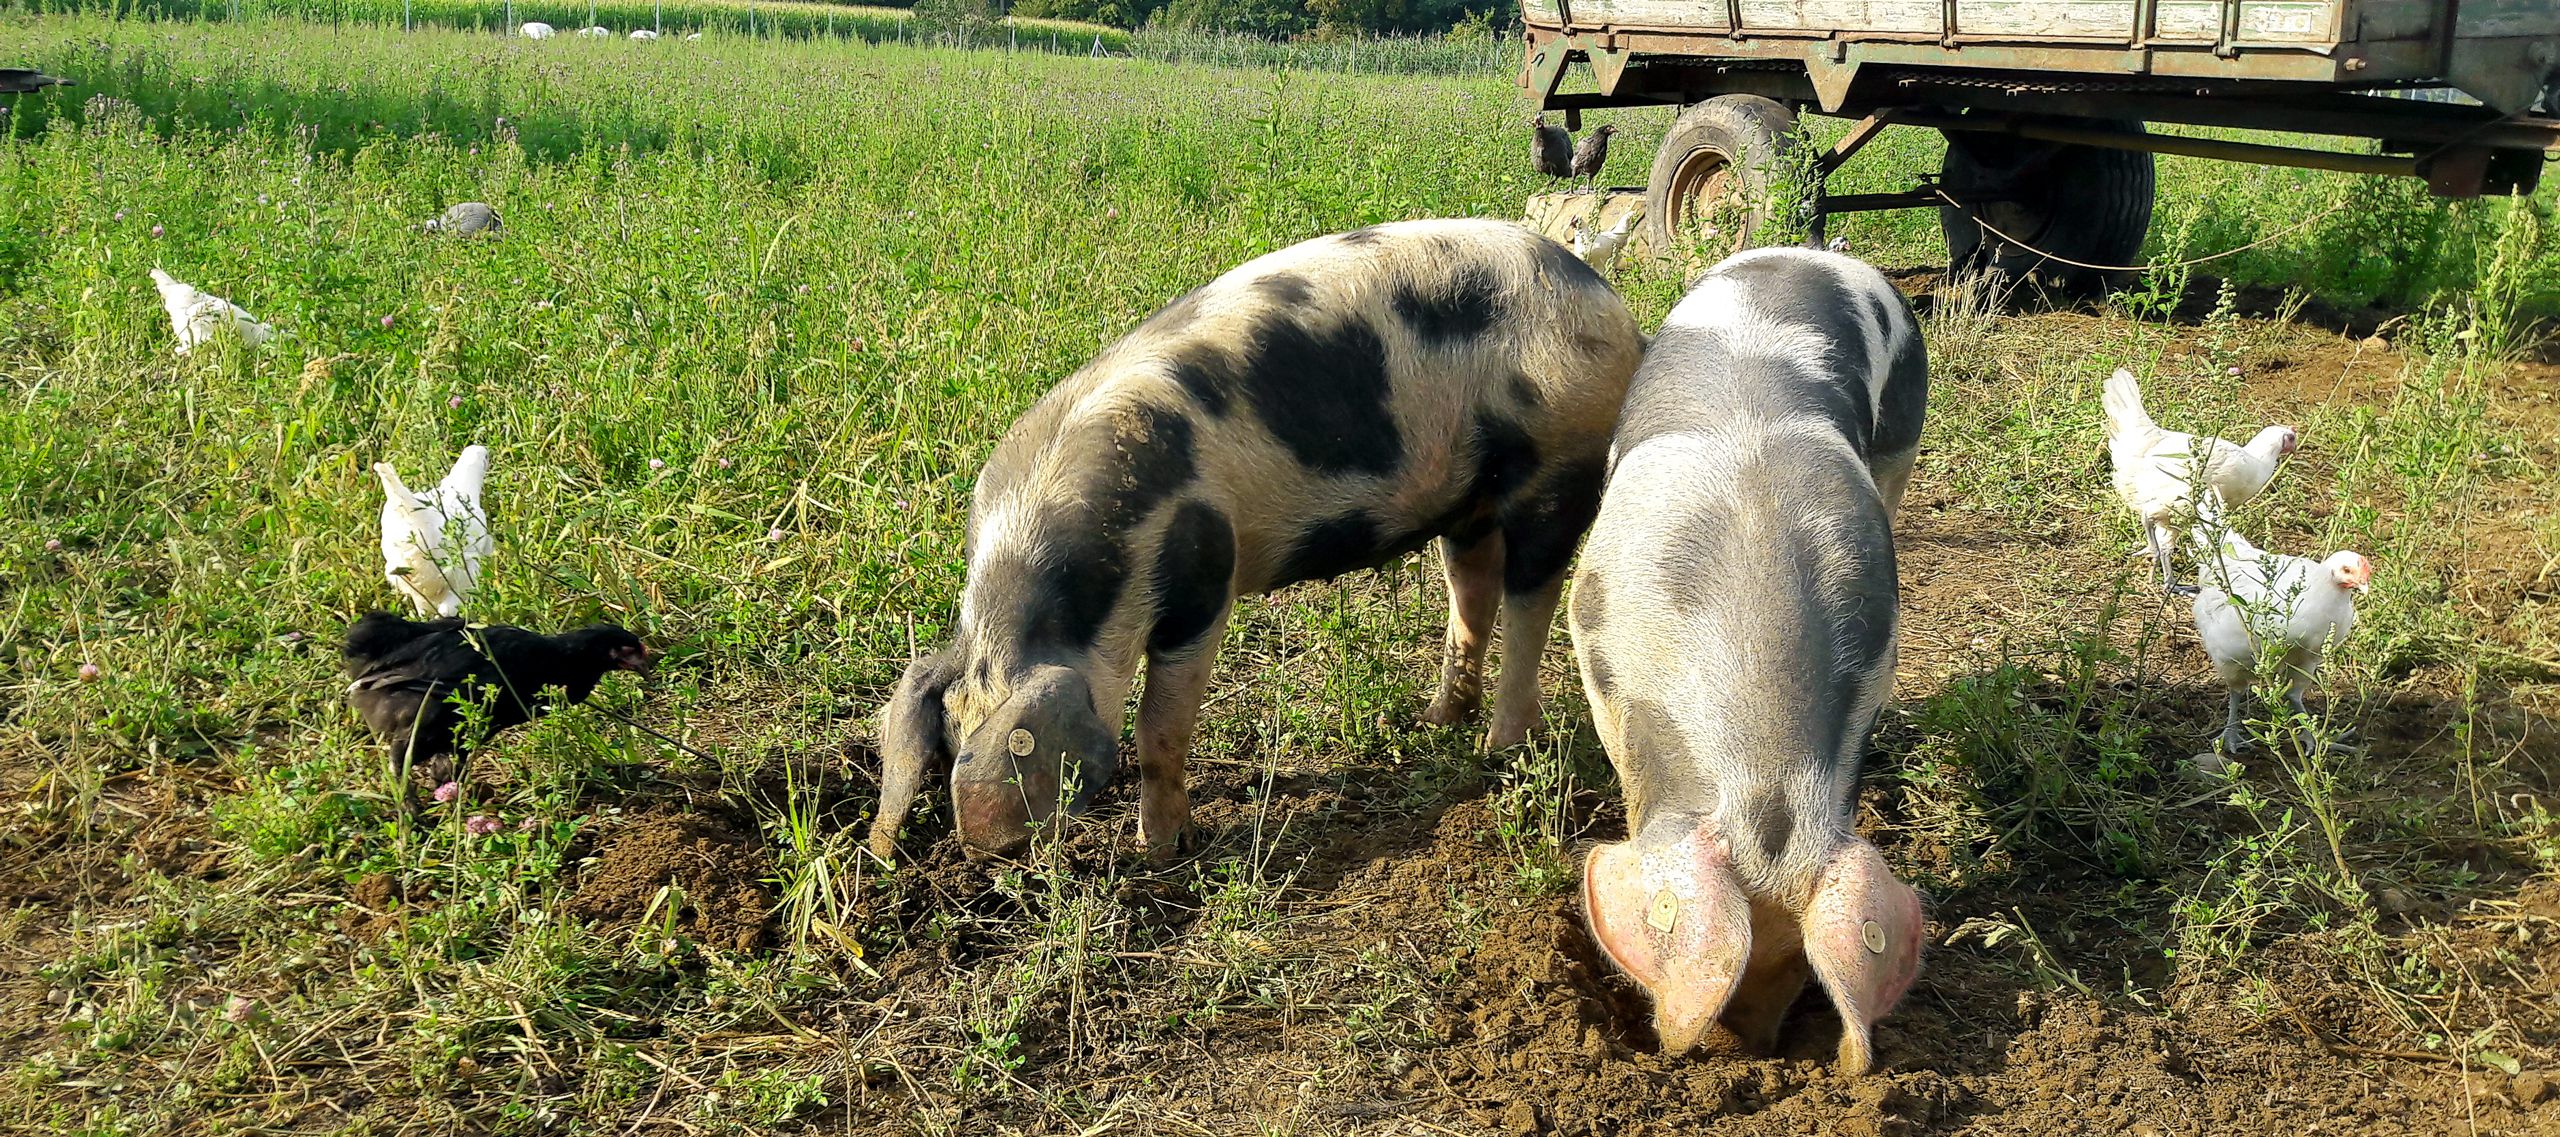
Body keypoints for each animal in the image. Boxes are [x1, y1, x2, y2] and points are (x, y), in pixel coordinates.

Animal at [875, 220, 1638, 860]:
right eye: (944, 743)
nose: (995, 859)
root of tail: (1600, 292)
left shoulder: (1203, 585)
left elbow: (1159, 728)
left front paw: (1163, 851)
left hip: (1558, 458)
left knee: (1532, 598)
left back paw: (1498, 749)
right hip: (1468, 496)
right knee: (1473, 592)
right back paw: (1436, 721)